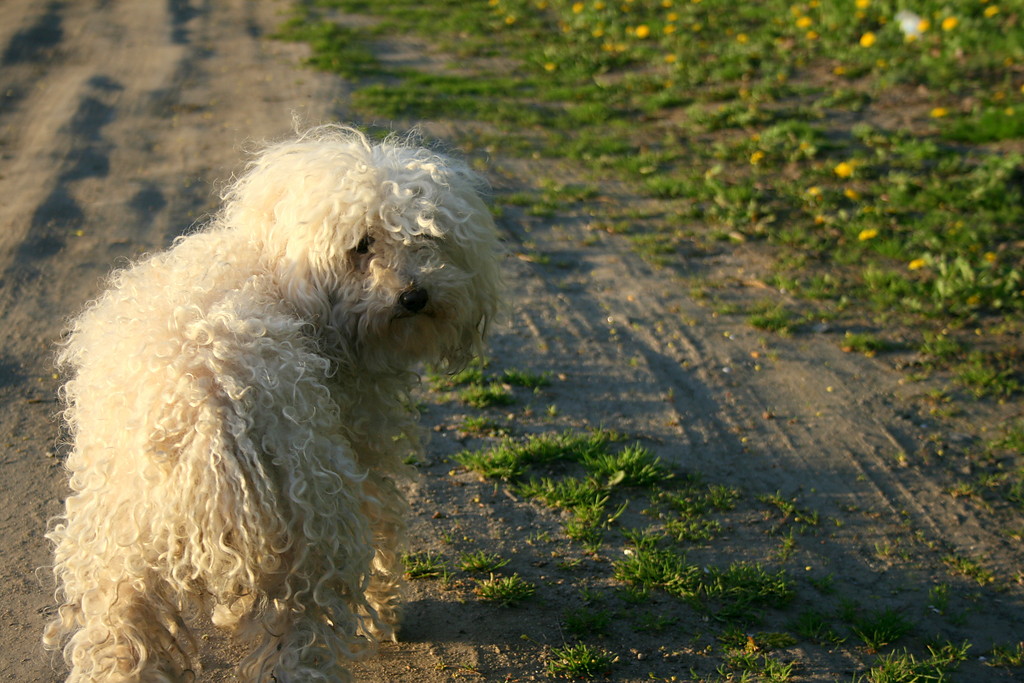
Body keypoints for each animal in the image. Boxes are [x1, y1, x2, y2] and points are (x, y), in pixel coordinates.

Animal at [48, 125, 503, 679]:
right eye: (361, 245)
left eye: (428, 236)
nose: (415, 296)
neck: (275, 275)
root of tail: (209, 418)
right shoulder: (358, 454)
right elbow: (383, 538)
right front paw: (386, 618)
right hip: (310, 540)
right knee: (299, 642)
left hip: (120, 547)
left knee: (118, 636)